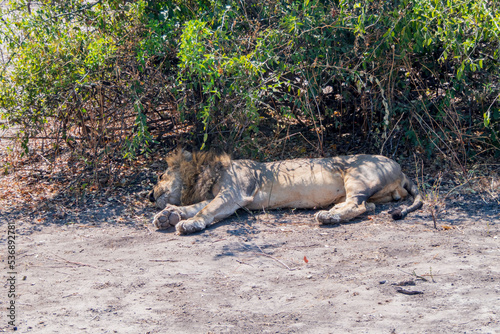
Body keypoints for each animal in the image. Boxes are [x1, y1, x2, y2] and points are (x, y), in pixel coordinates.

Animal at [148, 150, 422, 234]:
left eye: (160, 176)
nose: (148, 196)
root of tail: (401, 169)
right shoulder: (224, 197)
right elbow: (194, 207)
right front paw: (168, 216)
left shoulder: (233, 194)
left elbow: (205, 210)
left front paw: (188, 223)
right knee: (368, 206)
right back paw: (332, 211)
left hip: (356, 176)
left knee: (359, 205)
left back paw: (328, 217)